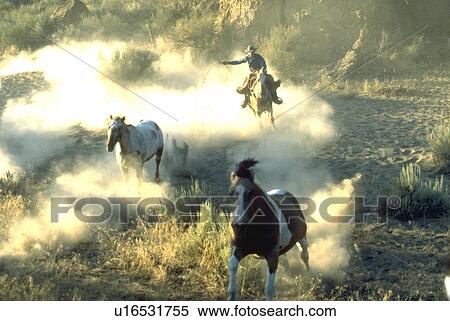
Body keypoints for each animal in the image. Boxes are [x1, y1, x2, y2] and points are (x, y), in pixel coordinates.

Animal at [227, 158, 308, 300]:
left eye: (251, 193)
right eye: (230, 193)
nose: (237, 225)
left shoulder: (272, 254)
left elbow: (269, 289)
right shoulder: (240, 248)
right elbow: (232, 263)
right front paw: (231, 296)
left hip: (302, 237)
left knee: (304, 255)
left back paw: (309, 277)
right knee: (285, 261)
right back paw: (289, 278)